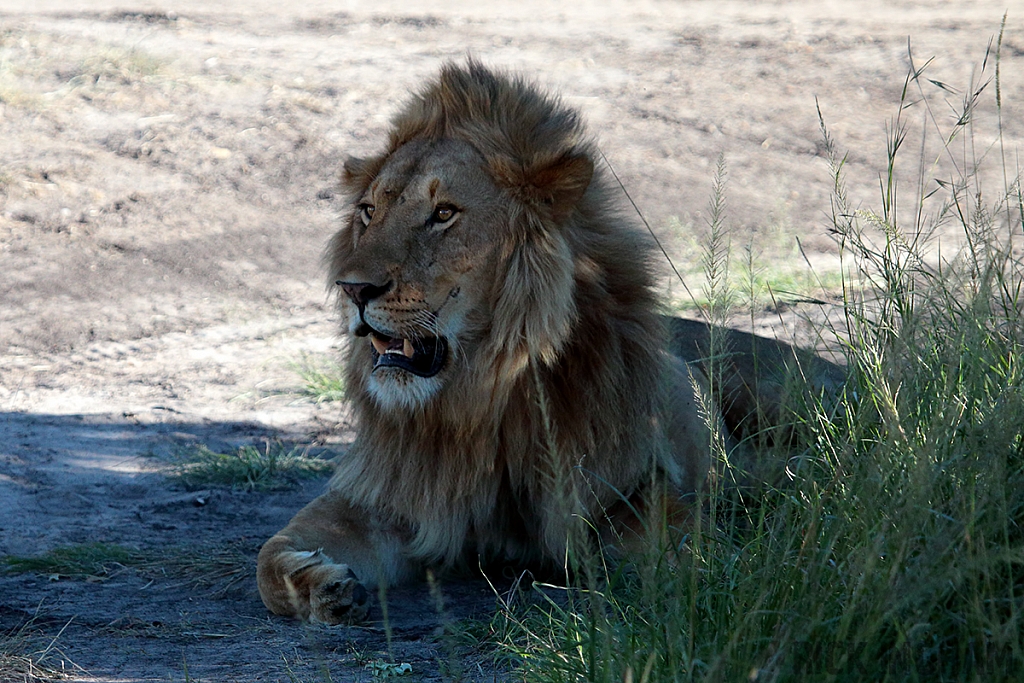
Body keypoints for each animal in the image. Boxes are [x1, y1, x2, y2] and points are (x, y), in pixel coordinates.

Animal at [256, 60, 839, 626]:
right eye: (369, 212)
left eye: (443, 213)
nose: (352, 289)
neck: (480, 399)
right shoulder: (391, 497)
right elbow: (269, 558)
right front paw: (322, 586)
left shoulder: (628, 489)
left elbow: (685, 547)